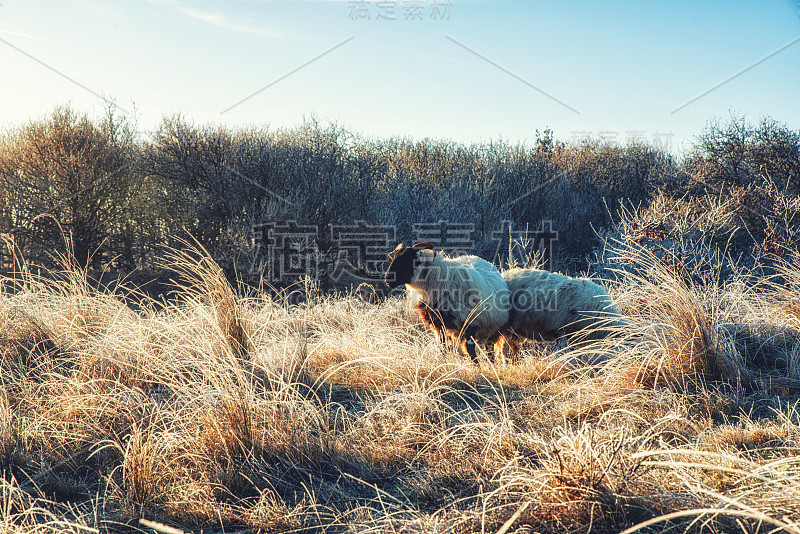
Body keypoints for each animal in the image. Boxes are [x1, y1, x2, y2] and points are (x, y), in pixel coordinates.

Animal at [496, 268, 628, 364]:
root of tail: (504, 274)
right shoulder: (560, 329)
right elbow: (563, 351)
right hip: (505, 327)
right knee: (503, 349)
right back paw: (506, 364)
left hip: (515, 328)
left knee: (512, 347)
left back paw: (515, 363)